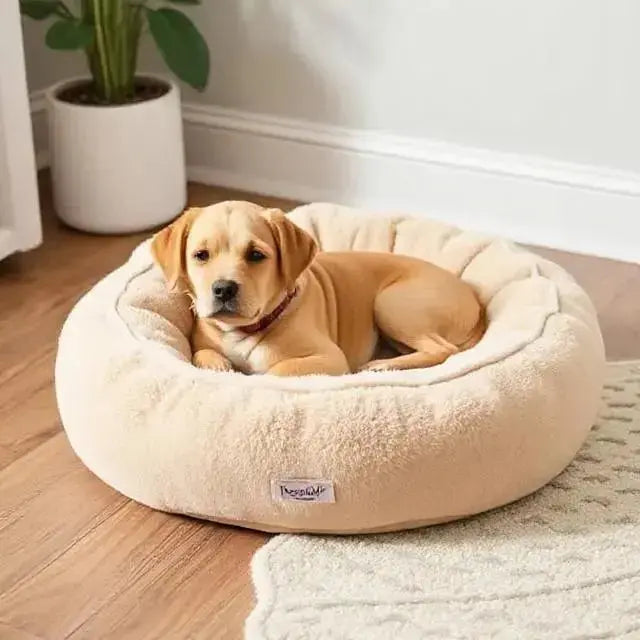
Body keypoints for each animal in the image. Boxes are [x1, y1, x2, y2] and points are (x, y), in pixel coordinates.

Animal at [151, 201, 485, 376]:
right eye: (201, 255)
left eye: (256, 255)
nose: (223, 289)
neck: (246, 330)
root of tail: (474, 301)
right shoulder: (203, 342)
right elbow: (203, 354)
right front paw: (220, 366)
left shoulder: (328, 358)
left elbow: (278, 370)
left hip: (393, 303)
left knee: (443, 350)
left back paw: (381, 366)